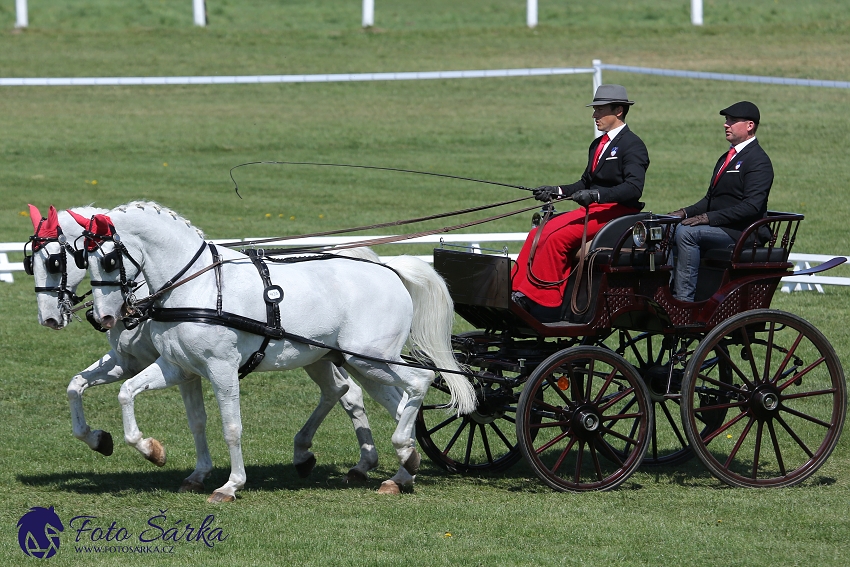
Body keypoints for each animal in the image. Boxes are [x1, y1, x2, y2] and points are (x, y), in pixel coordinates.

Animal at [29, 203, 390, 492]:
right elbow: (79, 386)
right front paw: (99, 439)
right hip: (318, 356)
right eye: (29, 262)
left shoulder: (186, 366)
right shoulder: (135, 361)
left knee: (348, 392)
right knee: (342, 391)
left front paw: (152, 451)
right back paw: (333, 459)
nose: (49, 319)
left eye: (56, 261)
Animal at [74, 201, 476, 502]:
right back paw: (402, 470)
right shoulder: (179, 367)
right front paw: (150, 450)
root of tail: (388, 268)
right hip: (357, 363)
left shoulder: (221, 369)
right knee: (393, 404)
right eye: (82, 258)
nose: (102, 317)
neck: (197, 287)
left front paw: (230, 486)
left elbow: (231, 427)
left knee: (419, 382)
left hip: (370, 358)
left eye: (109, 260)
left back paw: (401, 454)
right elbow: (133, 395)